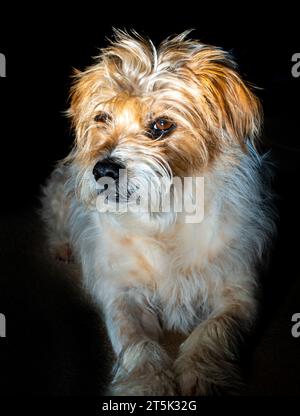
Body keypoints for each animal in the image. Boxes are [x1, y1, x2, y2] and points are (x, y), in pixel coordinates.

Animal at [41, 30, 276, 394]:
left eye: (161, 125)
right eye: (102, 118)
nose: (103, 169)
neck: (166, 214)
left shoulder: (239, 292)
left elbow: (214, 330)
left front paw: (203, 375)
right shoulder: (122, 293)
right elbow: (135, 340)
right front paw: (147, 383)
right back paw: (62, 247)